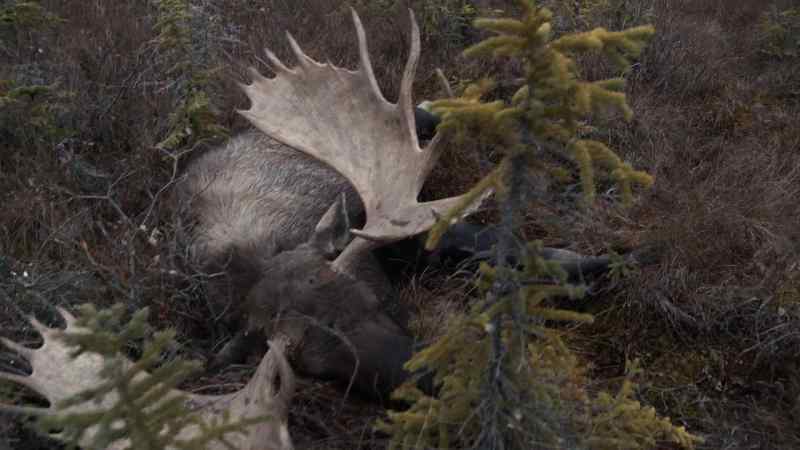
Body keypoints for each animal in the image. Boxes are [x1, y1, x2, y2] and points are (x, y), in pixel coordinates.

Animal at [0, 8, 623, 449]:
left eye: (377, 300)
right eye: (322, 369)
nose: (451, 388)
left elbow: (485, 240)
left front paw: (591, 264)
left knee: (424, 112)